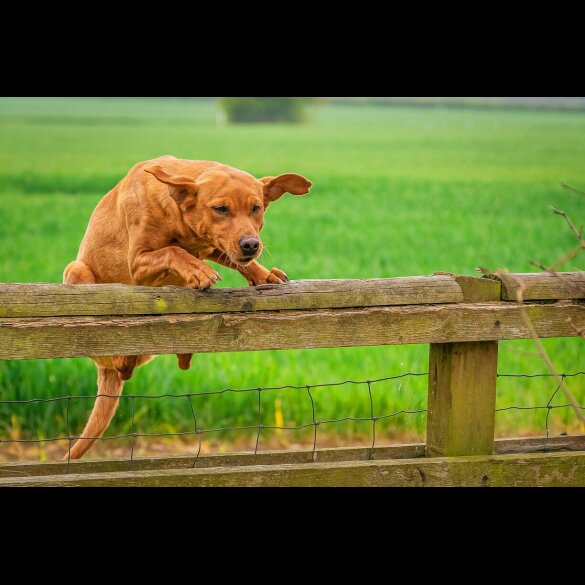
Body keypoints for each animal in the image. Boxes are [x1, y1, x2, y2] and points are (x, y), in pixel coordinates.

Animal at [61, 157, 312, 458]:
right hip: (77, 272)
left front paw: (263, 275)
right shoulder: (138, 262)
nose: (251, 244)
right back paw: (124, 357)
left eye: (256, 208)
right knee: (119, 361)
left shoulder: (214, 245)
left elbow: (233, 259)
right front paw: (198, 271)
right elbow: (173, 251)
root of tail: (106, 371)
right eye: (220, 209)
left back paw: (182, 353)